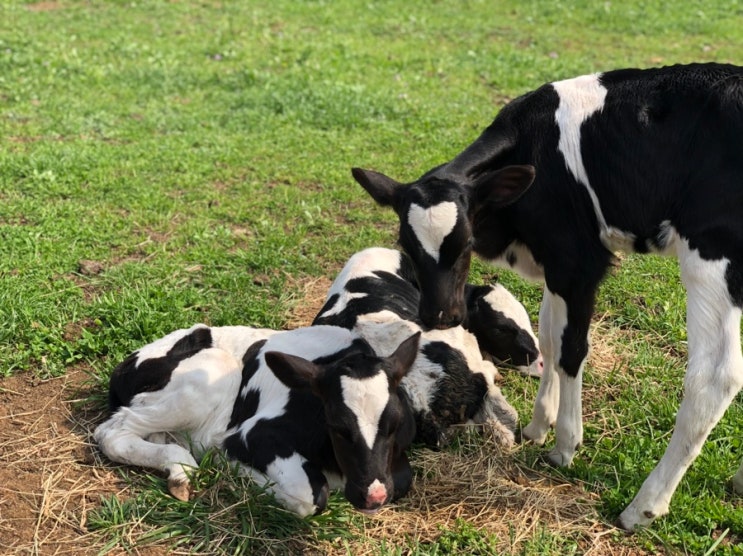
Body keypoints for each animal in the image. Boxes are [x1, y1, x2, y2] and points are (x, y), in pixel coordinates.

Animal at [93, 326, 422, 516]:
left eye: (394, 424)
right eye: (337, 426)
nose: (373, 496)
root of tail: (124, 367)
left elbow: (402, 480)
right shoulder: (251, 435)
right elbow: (310, 496)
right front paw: (233, 467)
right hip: (212, 369)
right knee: (111, 433)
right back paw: (182, 469)